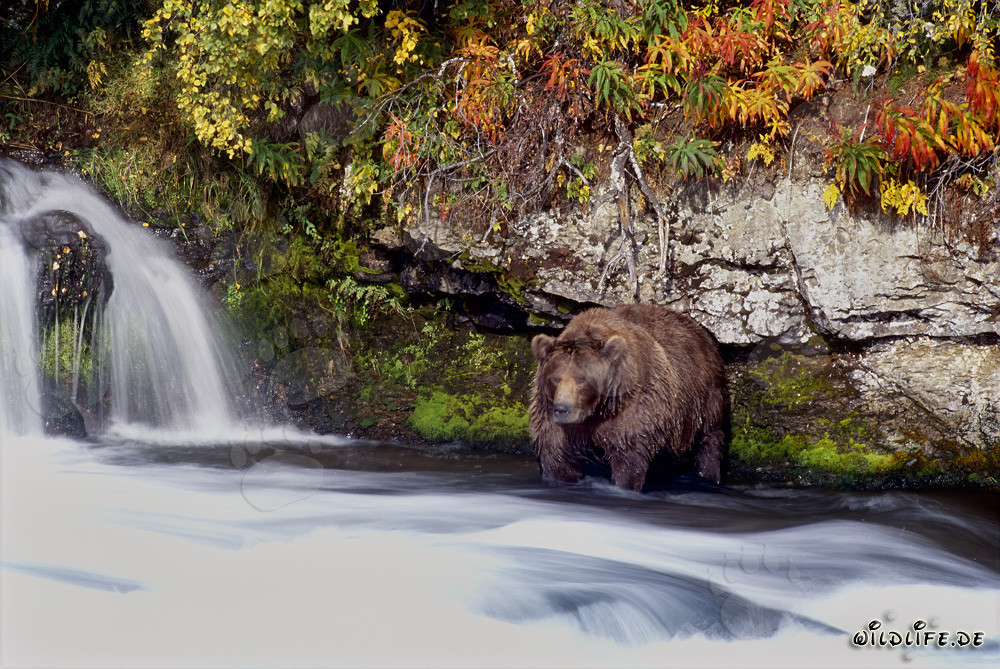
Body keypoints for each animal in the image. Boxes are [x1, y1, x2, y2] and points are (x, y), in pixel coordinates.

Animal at [529, 304, 726, 491]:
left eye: (581, 378)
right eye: (555, 378)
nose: (562, 408)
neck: (598, 410)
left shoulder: (634, 410)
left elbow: (628, 460)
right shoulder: (554, 420)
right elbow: (556, 457)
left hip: (702, 400)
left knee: (708, 441)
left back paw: (709, 476)